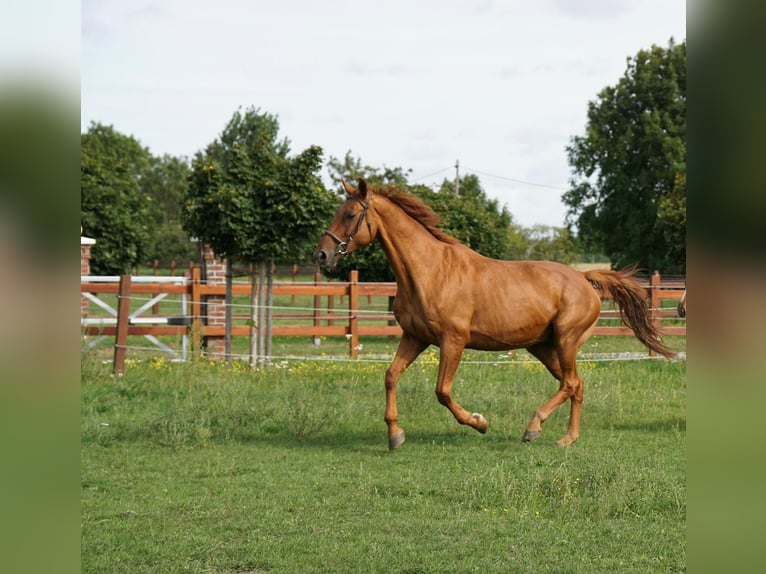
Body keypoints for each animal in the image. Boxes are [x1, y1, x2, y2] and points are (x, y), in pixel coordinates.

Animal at [314, 179, 677, 449]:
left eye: (350, 215)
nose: (322, 255)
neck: (430, 271)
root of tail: (584, 279)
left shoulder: (453, 340)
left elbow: (442, 391)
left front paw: (480, 422)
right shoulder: (415, 337)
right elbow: (391, 376)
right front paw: (395, 435)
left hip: (566, 341)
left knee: (571, 383)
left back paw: (536, 428)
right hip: (543, 347)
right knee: (575, 385)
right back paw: (567, 437)